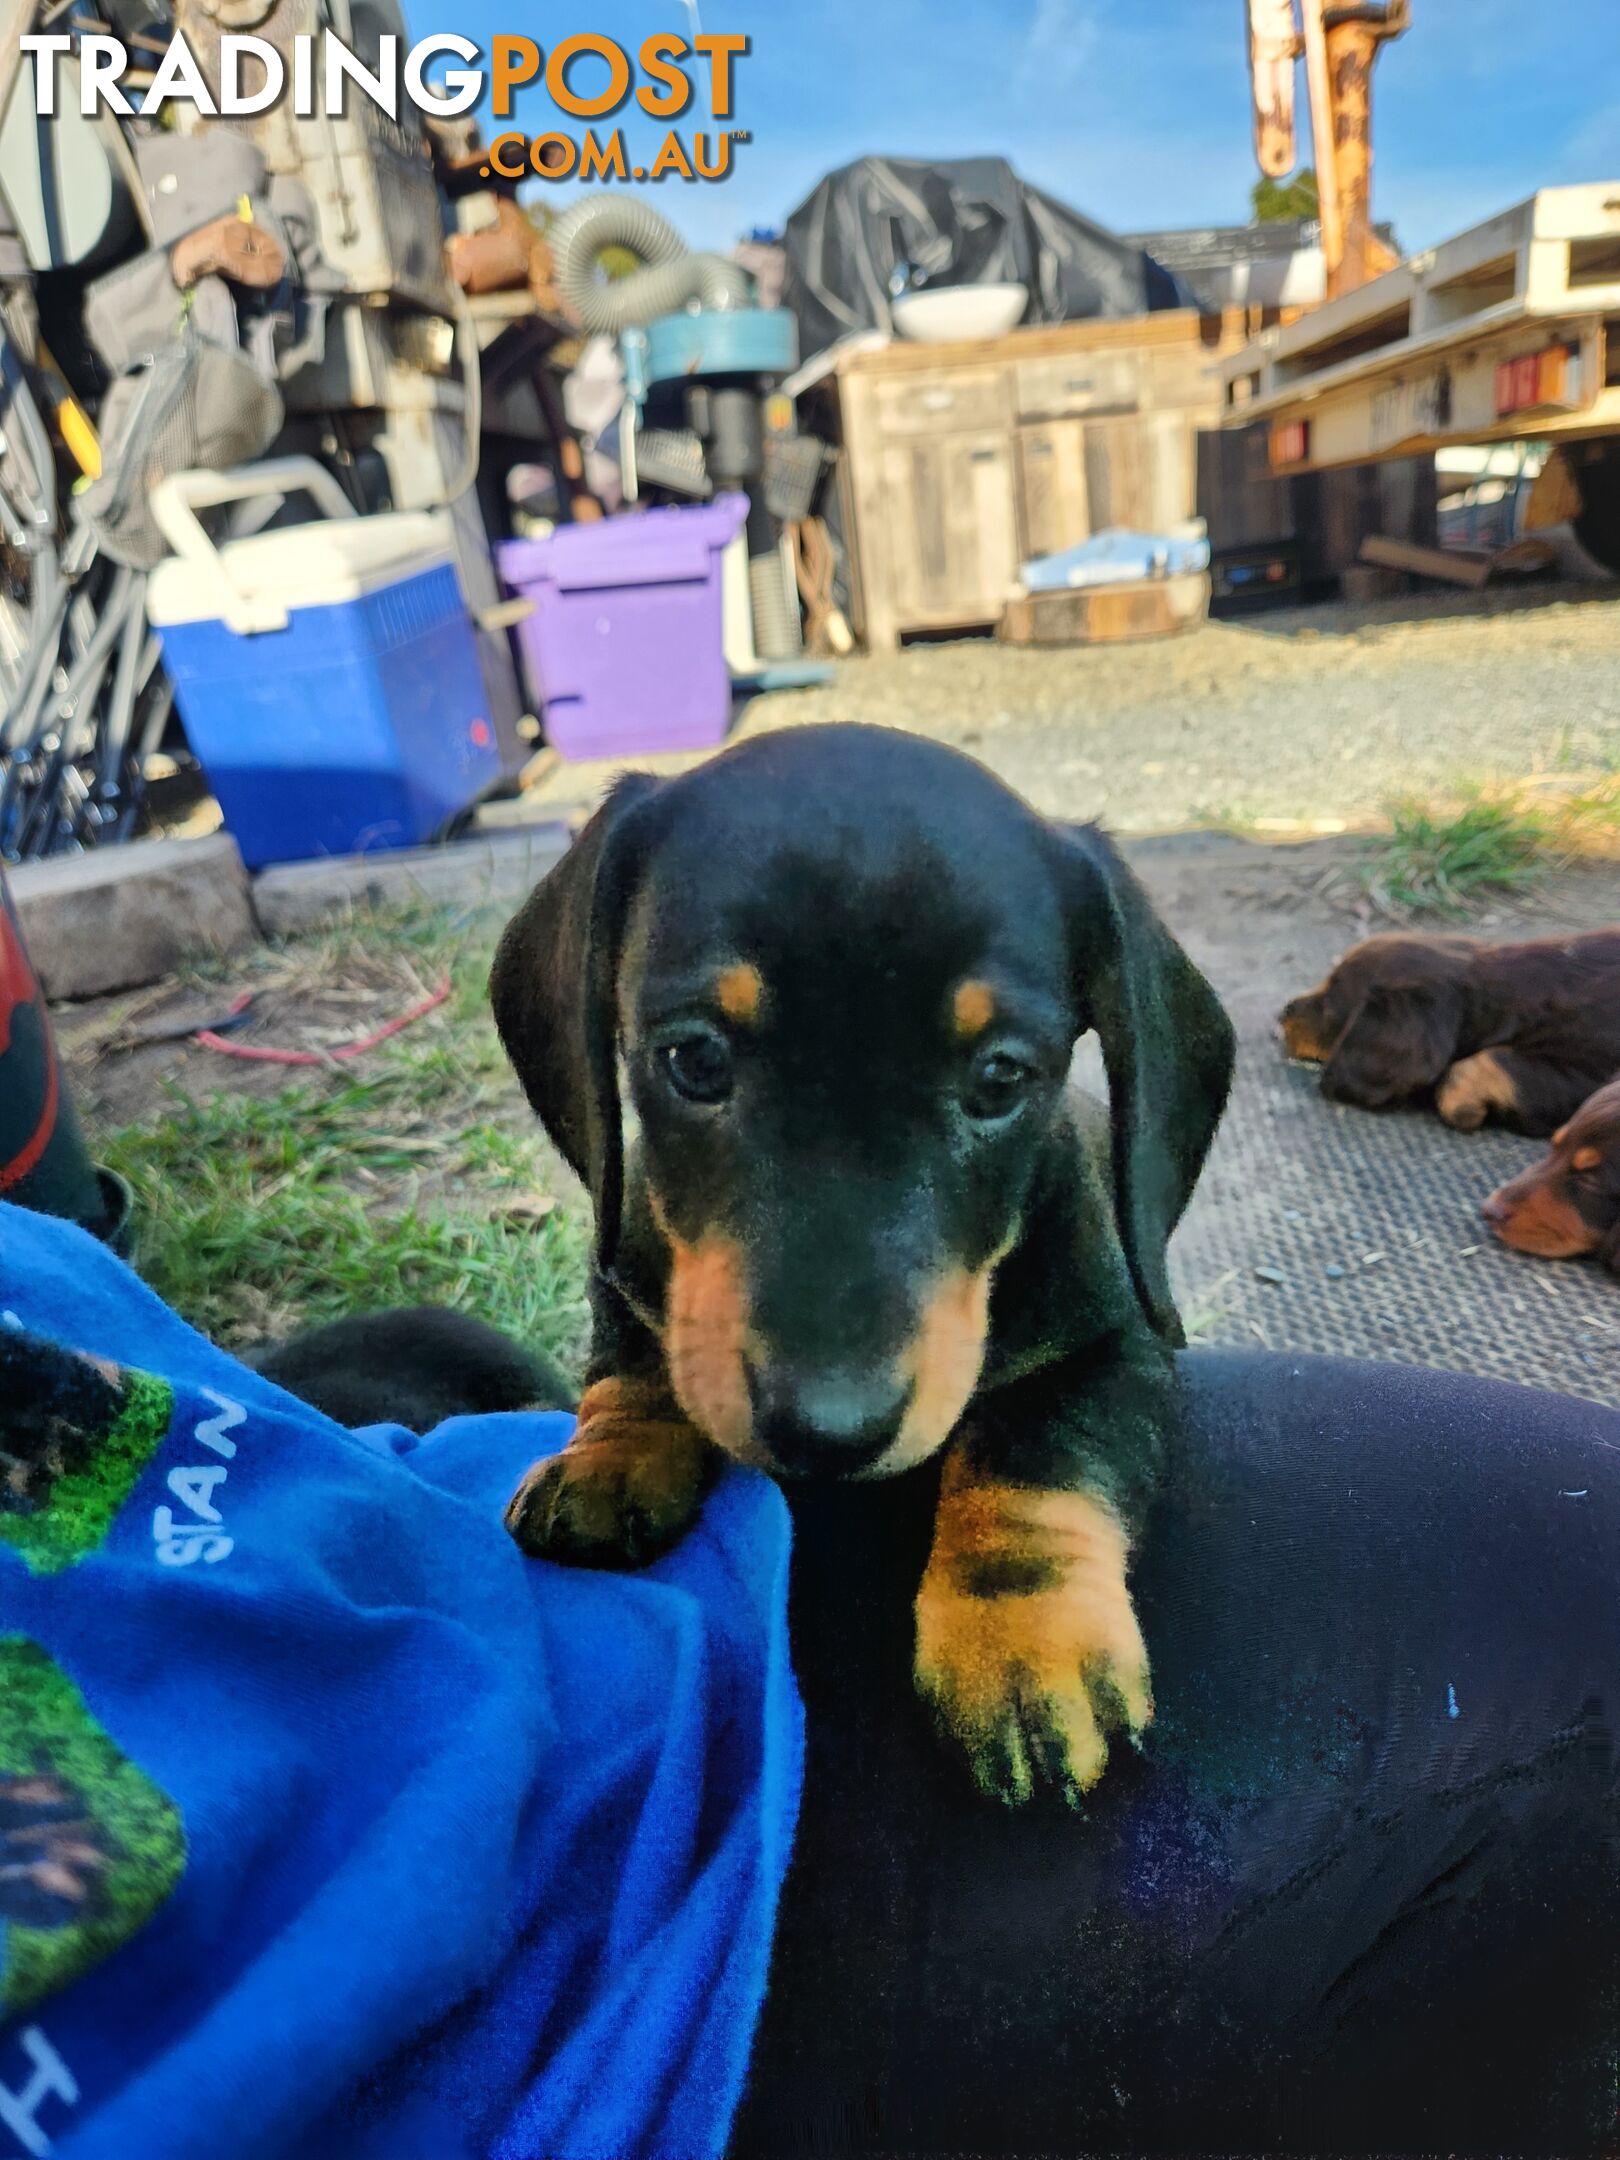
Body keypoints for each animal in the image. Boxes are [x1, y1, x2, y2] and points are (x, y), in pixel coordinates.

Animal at [492, 725, 1226, 1805]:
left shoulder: (1117, 1342)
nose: (829, 1433)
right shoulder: (624, 1265)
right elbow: (632, 1361)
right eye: (695, 1059)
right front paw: (608, 1454)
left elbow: (1034, 1449)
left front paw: (1021, 1642)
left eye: (1000, 1078)